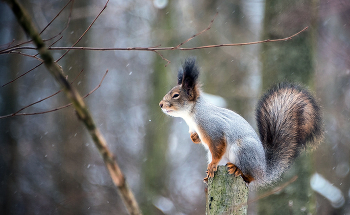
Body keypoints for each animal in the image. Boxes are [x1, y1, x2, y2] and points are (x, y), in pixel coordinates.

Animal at [159, 57, 322, 186]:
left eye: (175, 95)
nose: (160, 104)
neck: (192, 115)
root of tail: (263, 170)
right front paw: (194, 138)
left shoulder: (213, 127)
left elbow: (218, 146)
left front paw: (212, 165)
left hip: (243, 150)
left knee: (250, 178)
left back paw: (237, 170)